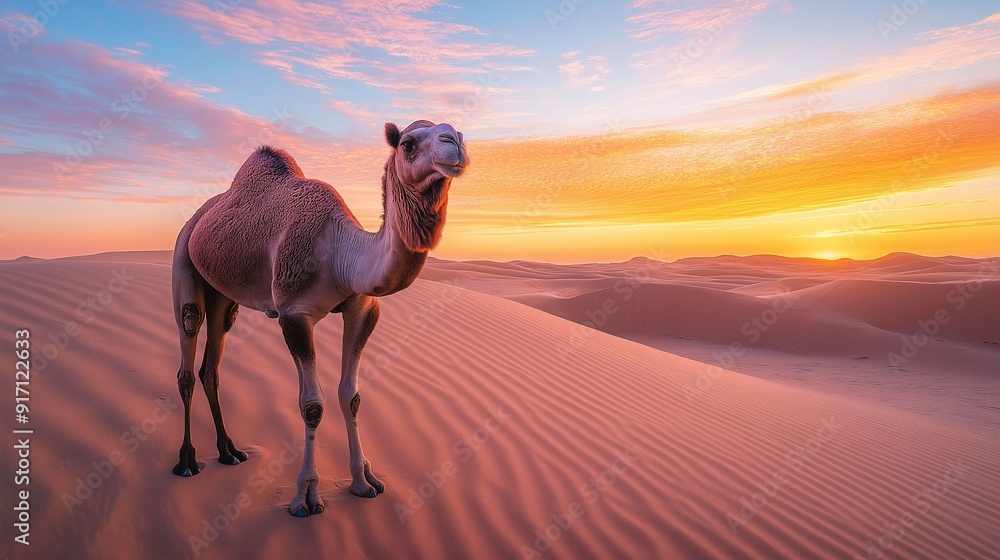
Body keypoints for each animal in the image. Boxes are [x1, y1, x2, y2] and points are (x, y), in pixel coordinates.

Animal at [170, 120, 468, 517]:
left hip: (223, 293)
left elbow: (351, 395)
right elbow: (312, 405)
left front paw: (364, 481)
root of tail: (197, 217)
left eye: (461, 135)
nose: (454, 143)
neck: (342, 253)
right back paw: (187, 461)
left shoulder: (363, 309)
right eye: (408, 143)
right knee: (188, 344)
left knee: (212, 363)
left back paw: (229, 452)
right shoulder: (294, 314)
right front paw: (306, 496)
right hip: (183, 258)